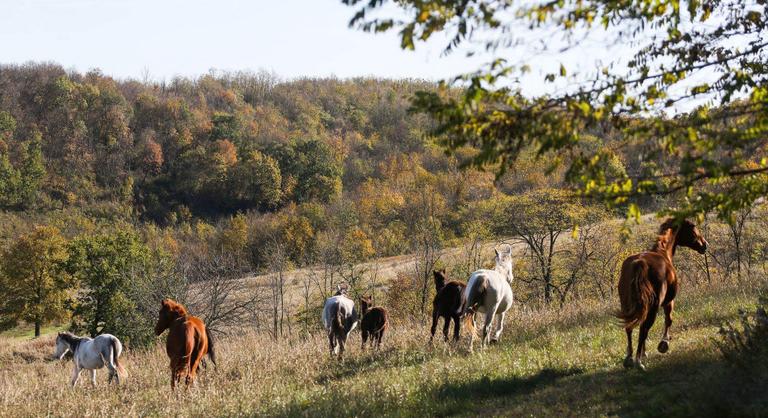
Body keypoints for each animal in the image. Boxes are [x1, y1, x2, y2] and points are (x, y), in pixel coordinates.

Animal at [616, 219, 708, 370]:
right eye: (694, 228)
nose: (705, 245)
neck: (663, 252)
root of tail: (639, 263)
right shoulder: (669, 302)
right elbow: (669, 319)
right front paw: (664, 343)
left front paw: (645, 352)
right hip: (653, 307)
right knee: (643, 328)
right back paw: (638, 362)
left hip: (628, 306)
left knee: (630, 328)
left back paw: (629, 358)